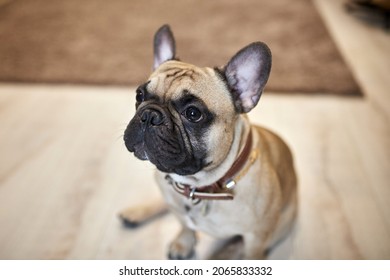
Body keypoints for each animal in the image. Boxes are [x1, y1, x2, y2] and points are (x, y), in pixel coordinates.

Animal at [120, 25, 298, 260]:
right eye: (139, 95)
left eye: (193, 113)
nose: (149, 115)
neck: (198, 187)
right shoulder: (178, 204)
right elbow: (184, 224)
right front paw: (184, 243)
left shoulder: (256, 238)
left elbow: (250, 252)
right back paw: (136, 212)